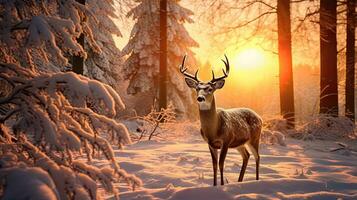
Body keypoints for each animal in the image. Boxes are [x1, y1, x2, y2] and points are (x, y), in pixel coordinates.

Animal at [181, 55, 262, 186]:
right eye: (197, 88)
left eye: (210, 89)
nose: (200, 98)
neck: (213, 130)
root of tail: (260, 117)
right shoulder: (210, 143)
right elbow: (214, 165)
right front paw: (214, 185)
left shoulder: (226, 140)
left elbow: (221, 164)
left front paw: (222, 184)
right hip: (239, 143)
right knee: (246, 155)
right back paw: (239, 181)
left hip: (255, 138)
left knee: (257, 156)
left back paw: (257, 180)